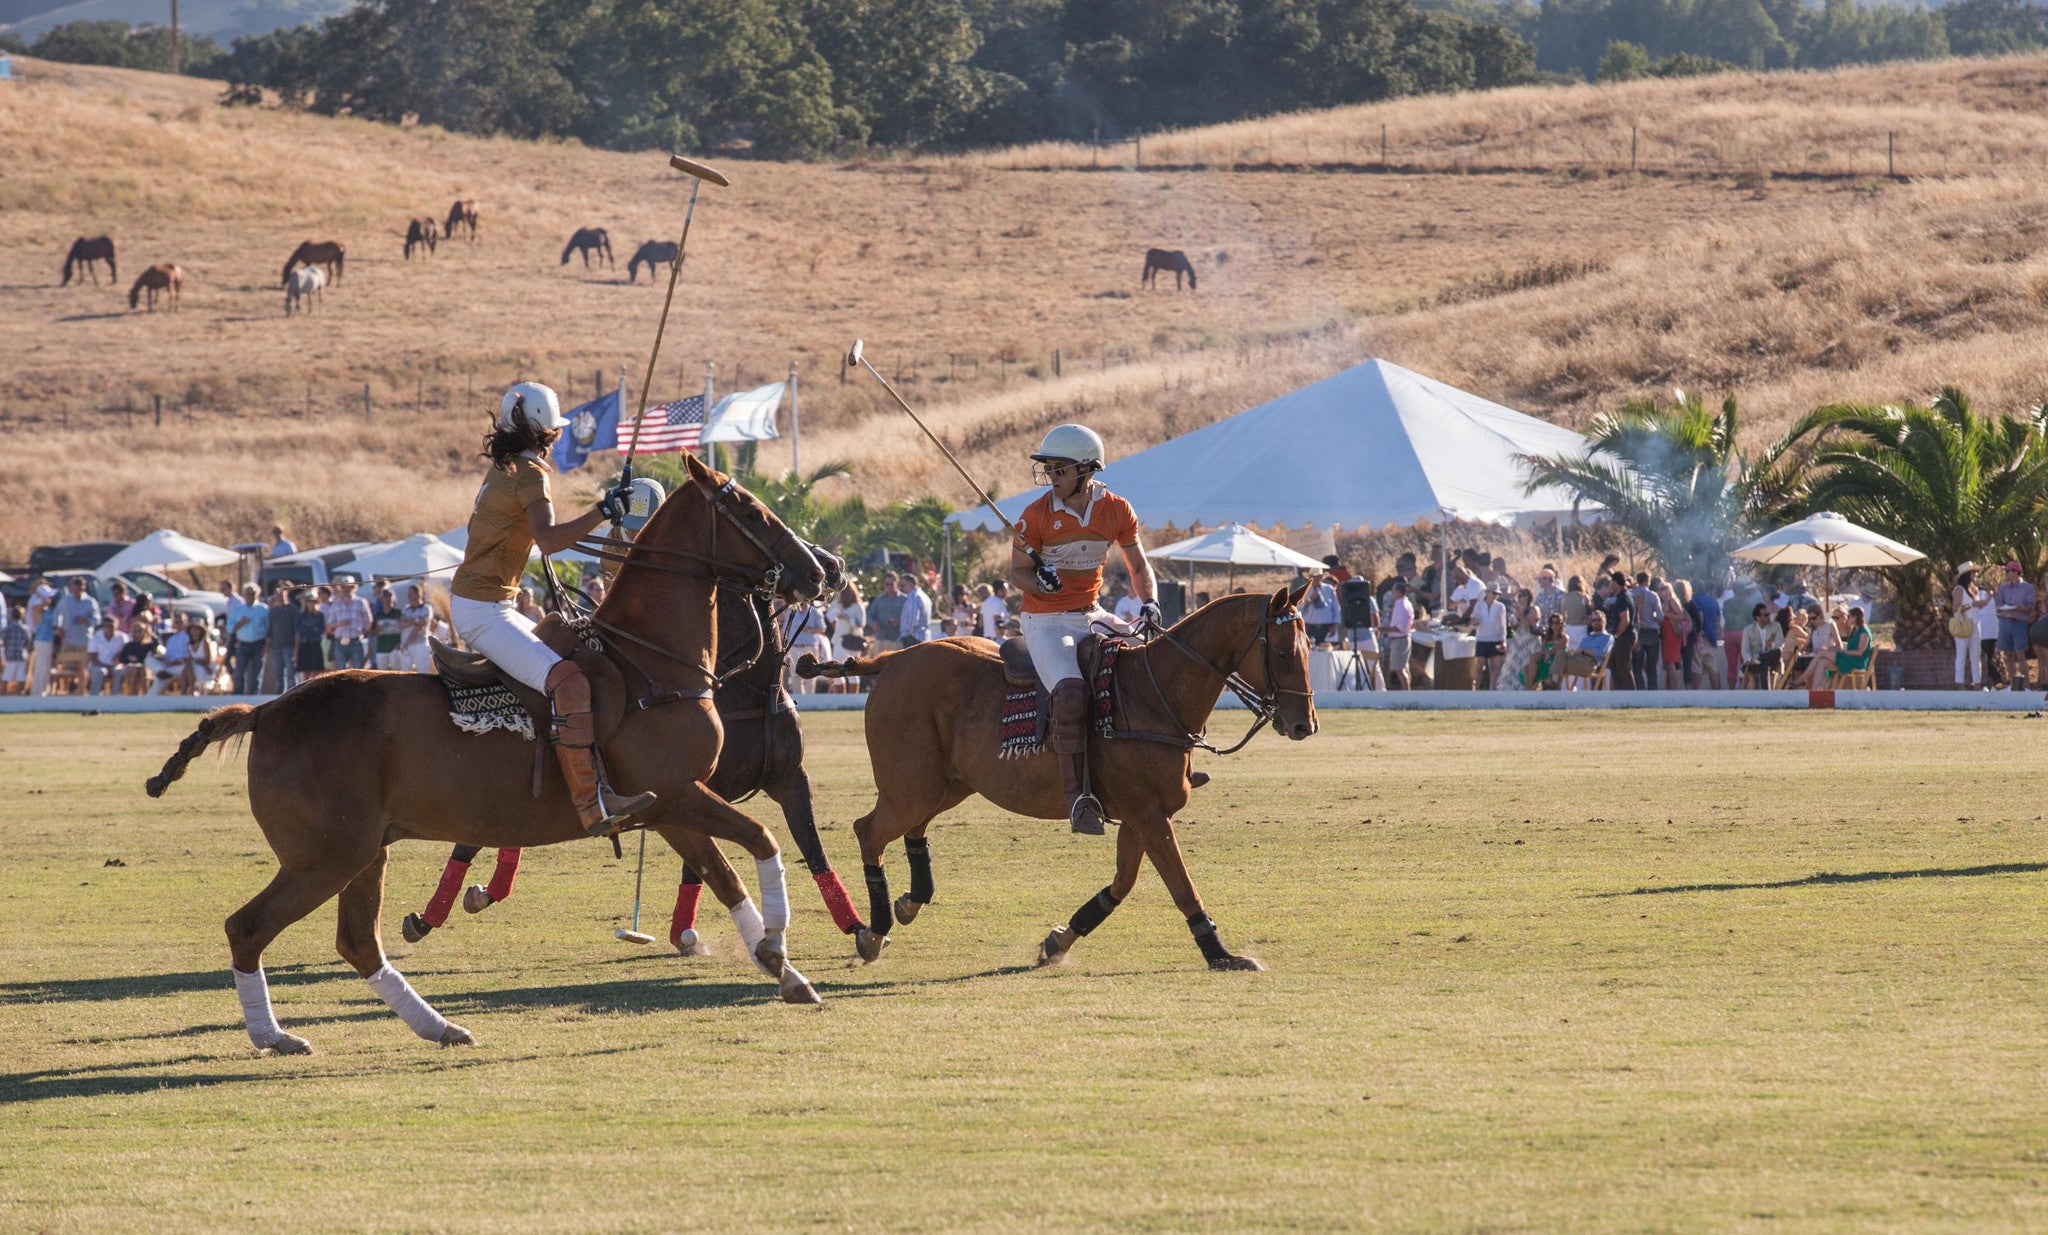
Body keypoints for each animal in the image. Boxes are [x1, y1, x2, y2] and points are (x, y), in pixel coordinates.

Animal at [142, 454, 831, 1056]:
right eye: (750, 508)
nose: (820, 572)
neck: (650, 661)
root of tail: (265, 711)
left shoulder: (666, 806)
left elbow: (726, 873)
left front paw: (784, 969)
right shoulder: (677, 793)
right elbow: (763, 838)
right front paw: (778, 947)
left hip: (363, 849)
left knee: (357, 942)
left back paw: (439, 1027)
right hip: (323, 855)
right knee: (249, 927)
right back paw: (275, 1036)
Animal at [794, 585, 1310, 974]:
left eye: (1308, 649)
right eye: (1284, 651)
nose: (1305, 725)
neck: (1155, 691)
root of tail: (890, 658)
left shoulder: (1140, 815)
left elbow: (1121, 884)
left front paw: (1059, 940)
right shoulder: (1147, 812)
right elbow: (1181, 884)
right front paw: (1222, 954)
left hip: (945, 783)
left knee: (911, 829)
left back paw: (909, 902)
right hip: (912, 784)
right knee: (869, 830)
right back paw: (872, 931)